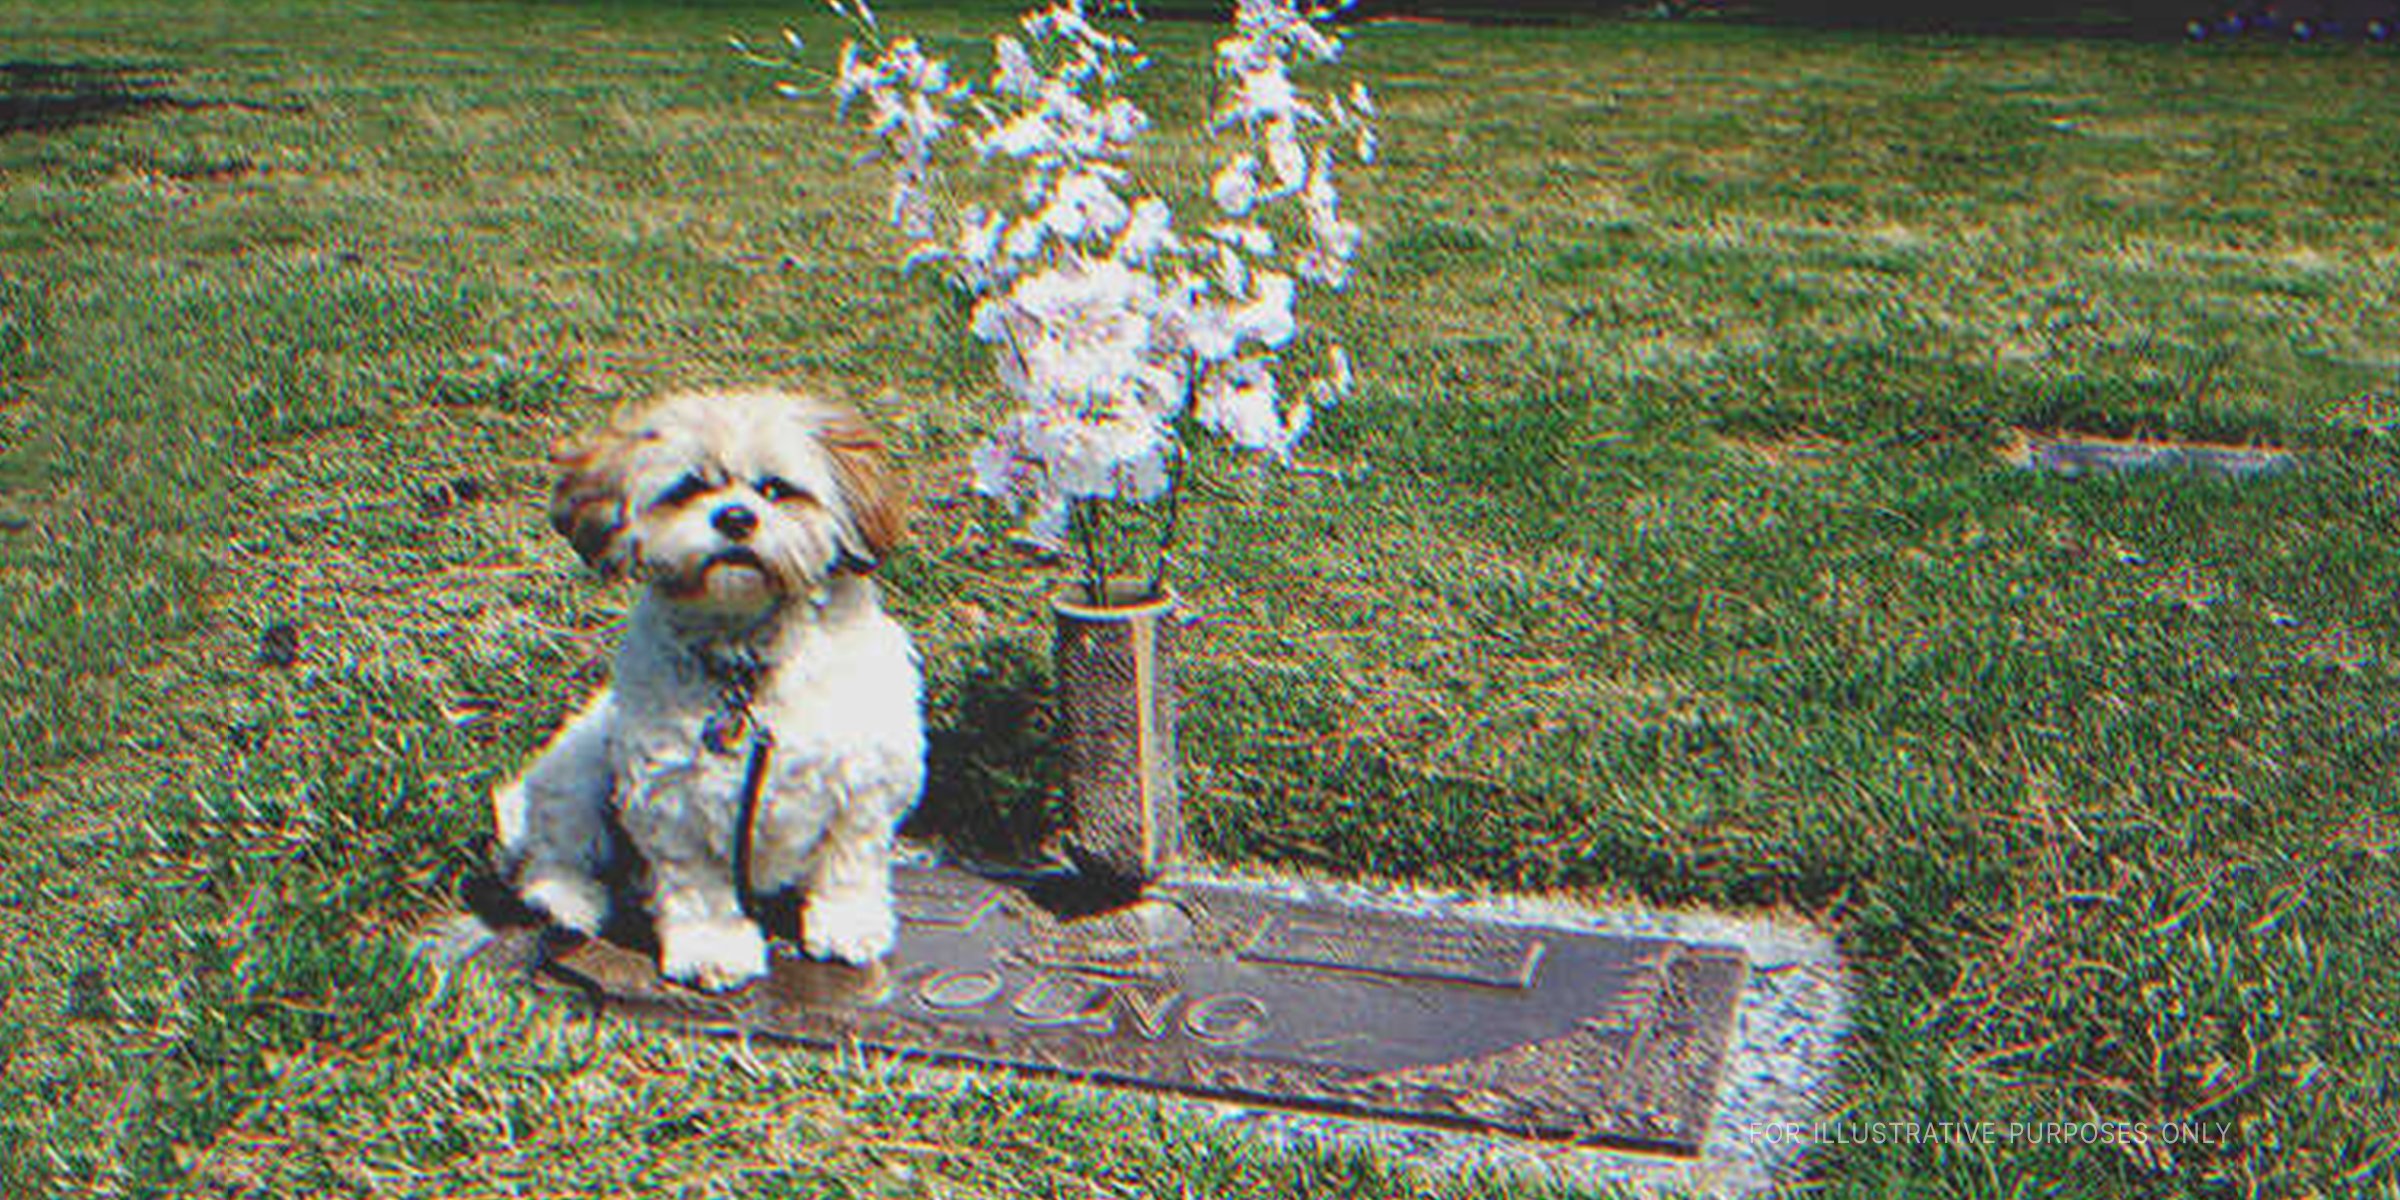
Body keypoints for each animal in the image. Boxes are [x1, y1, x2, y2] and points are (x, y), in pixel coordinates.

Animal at [492, 388, 921, 988]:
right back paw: (569, 900)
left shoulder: (865, 782)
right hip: (579, 770)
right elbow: (701, 890)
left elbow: (848, 865)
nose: (736, 517)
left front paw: (848, 925)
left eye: (776, 489)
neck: (748, 661)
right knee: (554, 854)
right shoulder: (673, 801)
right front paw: (713, 948)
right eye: (689, 487)